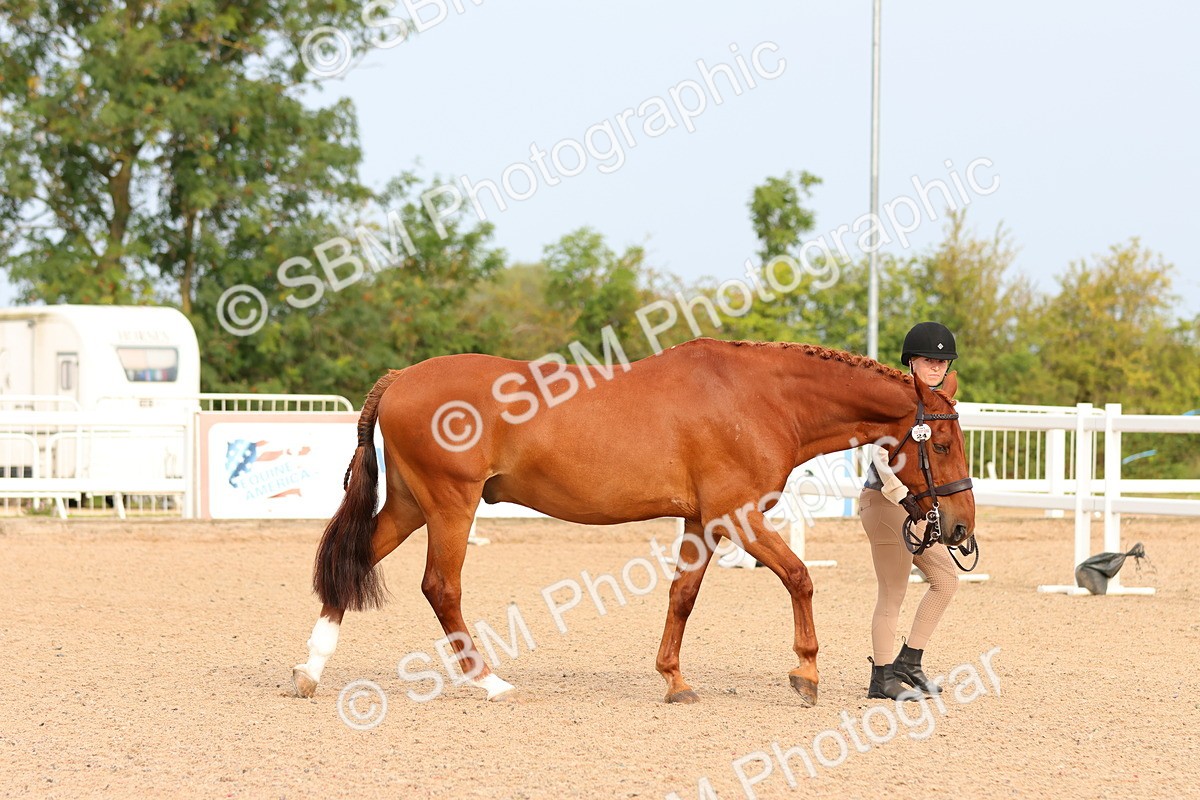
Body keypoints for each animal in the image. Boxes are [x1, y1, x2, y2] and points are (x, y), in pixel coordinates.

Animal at [291, 337, 975, 706]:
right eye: (941, 445)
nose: (960, 530)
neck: (758, 399)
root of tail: (400, 378)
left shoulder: (702, 522)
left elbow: (682, 597)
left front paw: (674, 680)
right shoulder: (739, 517)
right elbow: (801, 577)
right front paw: (804, 673)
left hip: (412, 505)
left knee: (356, 562)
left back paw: (311, 670)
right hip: (450, 507)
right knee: (442, 588)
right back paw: (490, 683)